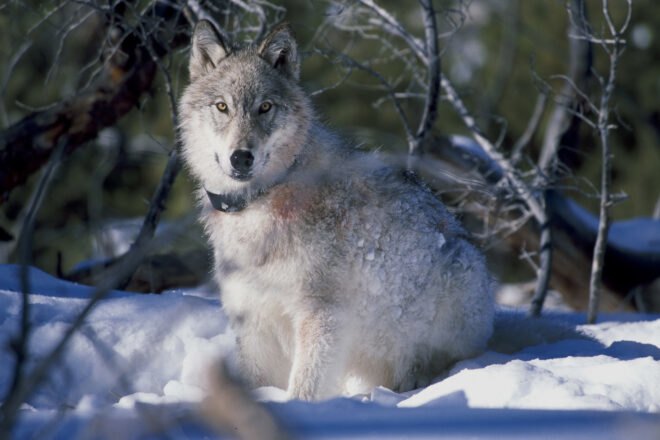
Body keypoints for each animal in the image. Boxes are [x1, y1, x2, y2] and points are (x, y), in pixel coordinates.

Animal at [179, 20, 494, 400]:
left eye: (265, 107)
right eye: (222, 106)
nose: (241, 157)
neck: (261, 201)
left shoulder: (322, 315)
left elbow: (305, 386)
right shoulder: (253, 318)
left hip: (455, 279)